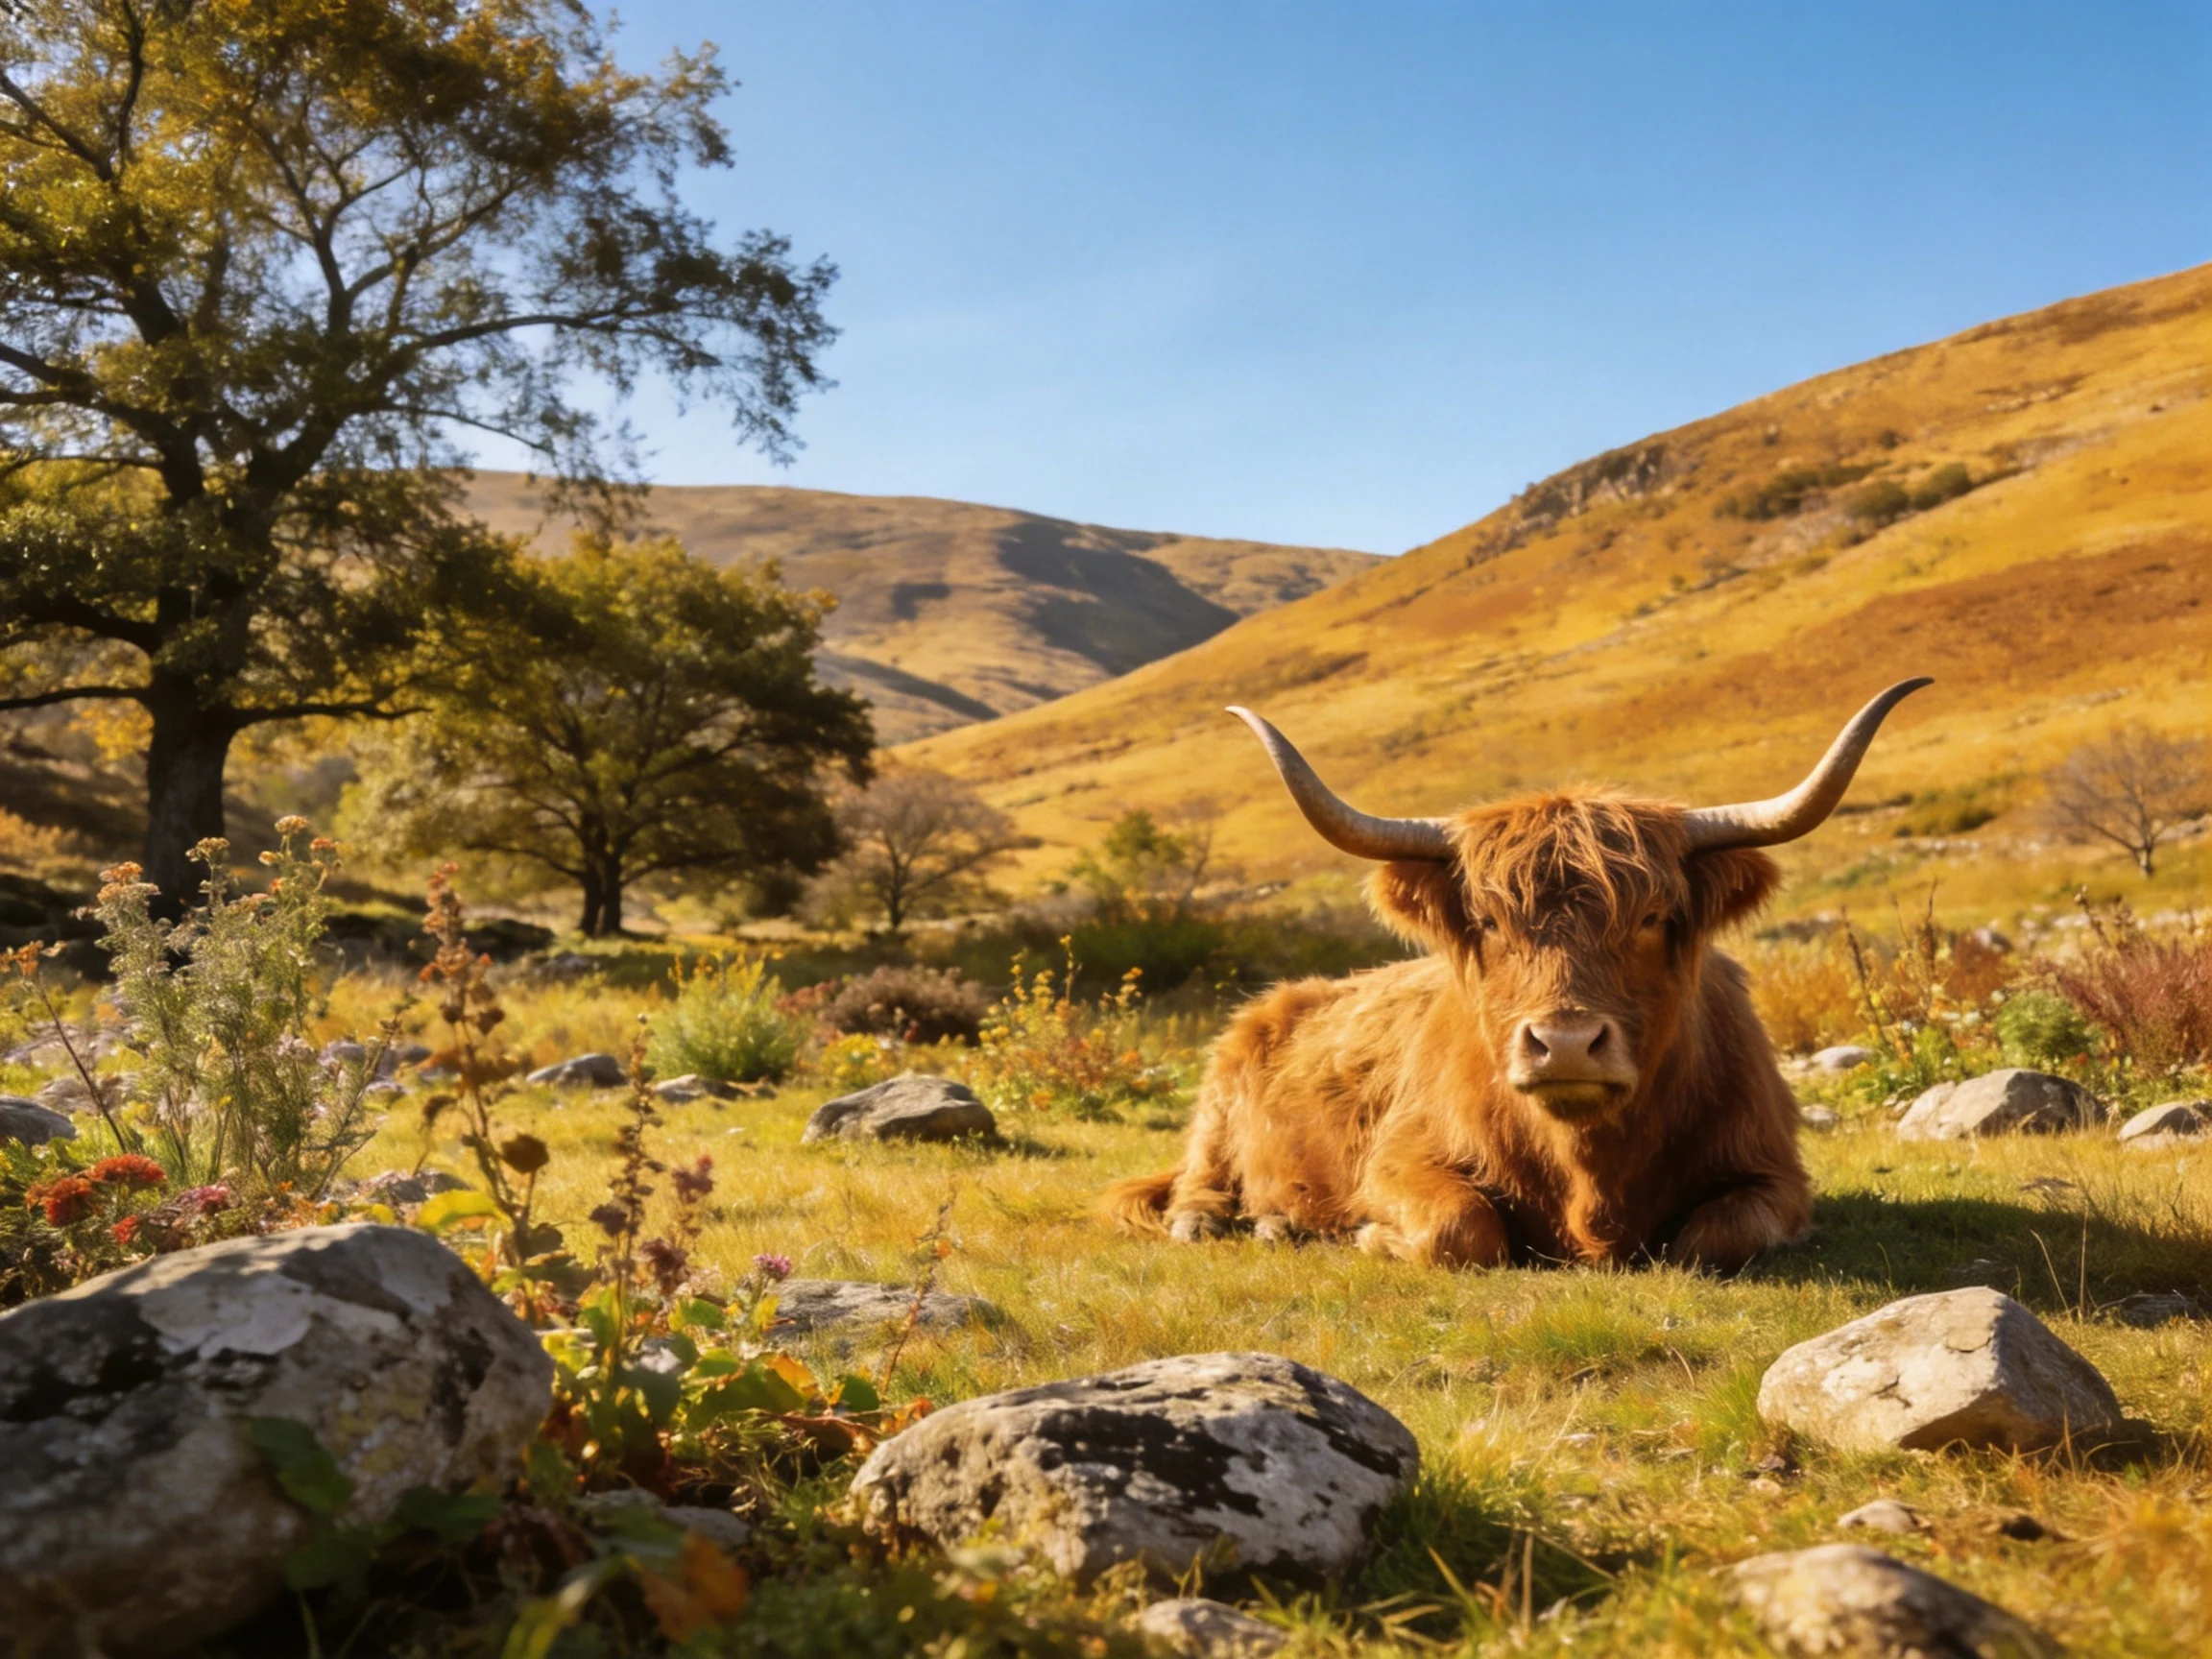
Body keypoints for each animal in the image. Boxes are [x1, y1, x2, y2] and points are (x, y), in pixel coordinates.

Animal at [1104, 679, 1930, 1273]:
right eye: (1491, 921)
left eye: (1653, 915)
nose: (1565, 1044)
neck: (1585, 1167)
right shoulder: (1399, 1159)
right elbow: (1461, 1228)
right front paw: (1370, 1236)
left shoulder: (1773, 1170)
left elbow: (1715, 1238)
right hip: (1219, 1095)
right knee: (1197, 1180)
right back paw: (1221, 1222)